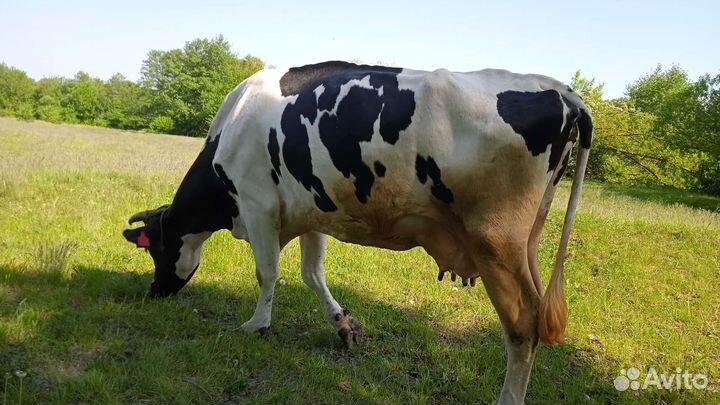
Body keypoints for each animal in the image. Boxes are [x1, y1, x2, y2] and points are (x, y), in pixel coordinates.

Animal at [123, 61, 592, 405]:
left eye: (153, 249)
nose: (154, 291)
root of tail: (561, 90)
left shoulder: (257, 206)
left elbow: (267, 273)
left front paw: (257, 324)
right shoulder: (311, 211)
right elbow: (312, 273)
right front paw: (343, 324)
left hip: (495, 242)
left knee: (523, 325)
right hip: (526, 243)